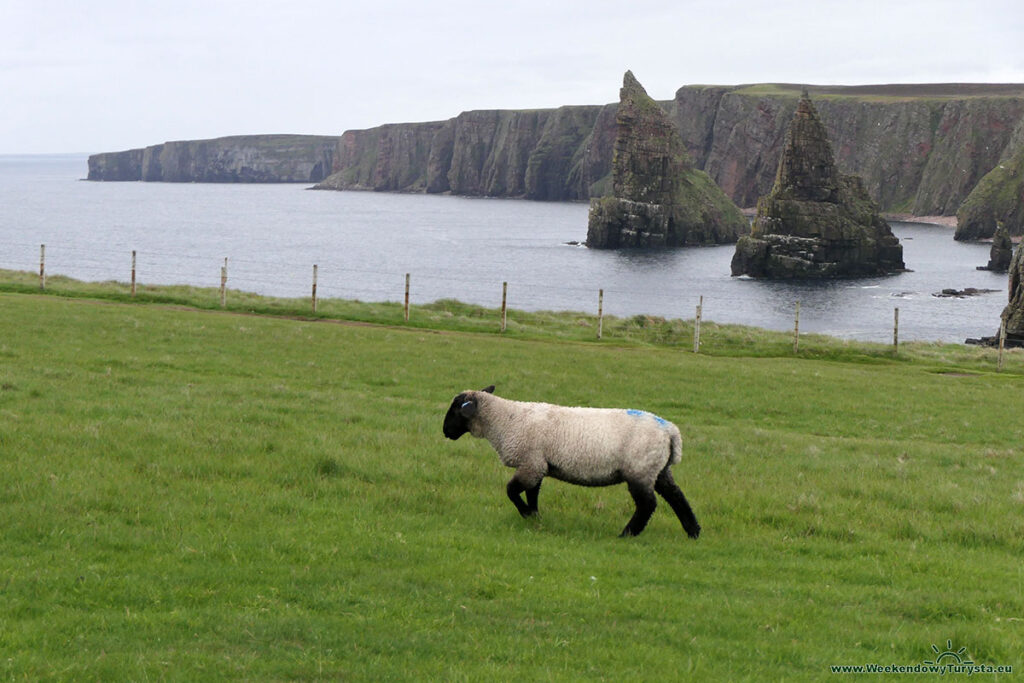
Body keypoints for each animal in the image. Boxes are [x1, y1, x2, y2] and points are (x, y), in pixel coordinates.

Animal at [444, 385, 700, 540]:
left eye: (456, 410)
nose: (445, 432)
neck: (505, 420)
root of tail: (671, 431)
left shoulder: (531, 463)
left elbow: (512, 491)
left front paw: (526, 514)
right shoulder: (539, 464)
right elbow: (532, 493)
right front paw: (535, 517)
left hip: (640, 469)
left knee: (648, 504)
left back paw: (627, 534)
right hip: (658, 469)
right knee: (677, 497)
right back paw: (693, 532)